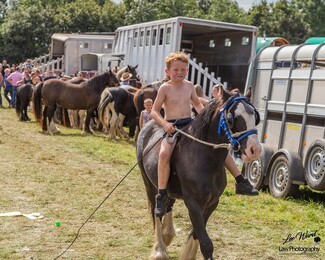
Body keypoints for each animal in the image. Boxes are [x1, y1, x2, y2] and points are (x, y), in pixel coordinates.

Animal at [136, 88, 260, 258]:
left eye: (255, 116)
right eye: (232, 118)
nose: (255, 149)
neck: (204, 159)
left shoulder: (212, 202)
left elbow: (197, 234)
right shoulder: (193, 203)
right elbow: (206, 244)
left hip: (170, 191)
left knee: (167, 205)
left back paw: (168, 235)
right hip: (150, 185)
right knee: (157, 213)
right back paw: (159, 250)